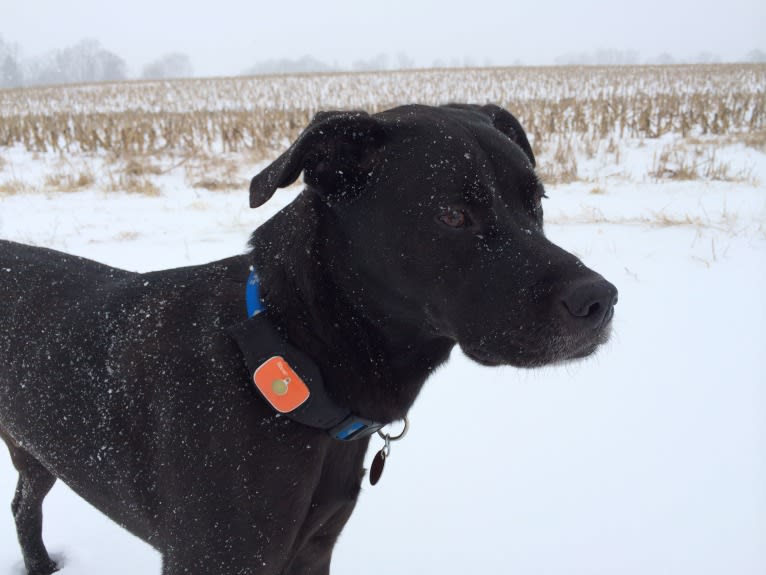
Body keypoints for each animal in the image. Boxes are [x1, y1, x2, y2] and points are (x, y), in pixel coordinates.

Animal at [0, 104, 616, 575]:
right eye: (451, 214)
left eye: (536, 203)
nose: (601, 301)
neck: (286, 360)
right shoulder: (212, 558)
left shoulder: (314, 548)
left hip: (35, 453)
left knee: (24, 501)